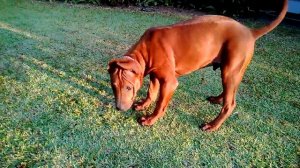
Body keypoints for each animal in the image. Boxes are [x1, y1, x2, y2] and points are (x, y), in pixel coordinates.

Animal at [108, 0, 288, 131]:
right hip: (233, 71)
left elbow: (160, 104)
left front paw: (150, 119)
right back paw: (217, 99)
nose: (119, 108)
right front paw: (143, 105)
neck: (145, 50)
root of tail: (250, 32)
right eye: (113, 86)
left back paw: (212, 125)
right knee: (230, 92)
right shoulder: (154, 74)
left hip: (230, 70)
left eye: (128, 88)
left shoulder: (169, 82)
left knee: (230, 104)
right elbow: (151, 92)